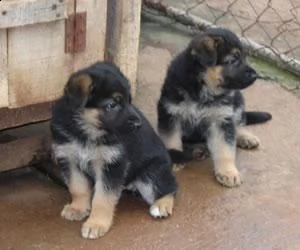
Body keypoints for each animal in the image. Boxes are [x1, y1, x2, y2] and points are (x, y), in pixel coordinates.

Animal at [51, 61, 177, 239]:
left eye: (129, 101)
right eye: (112, 105)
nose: (138, 124)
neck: (87, 131)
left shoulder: (111, 164)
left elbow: (102, 198)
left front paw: (96, 224)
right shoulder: (69, 159)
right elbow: (77, 187)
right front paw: (78, 208)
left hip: (151, 174)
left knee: (170, 187)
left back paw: (162, 205)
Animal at [157, 27, 272, 188]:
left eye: (243, 57)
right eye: (233, 59)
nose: (255, 76)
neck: (203, 88)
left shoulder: (221, 119)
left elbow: (225, 147)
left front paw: (228, 172)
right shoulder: (171, 112)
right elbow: (171, 139)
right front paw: (174, 158)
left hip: (238, 100)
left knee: (238, 123)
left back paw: (246, 137)